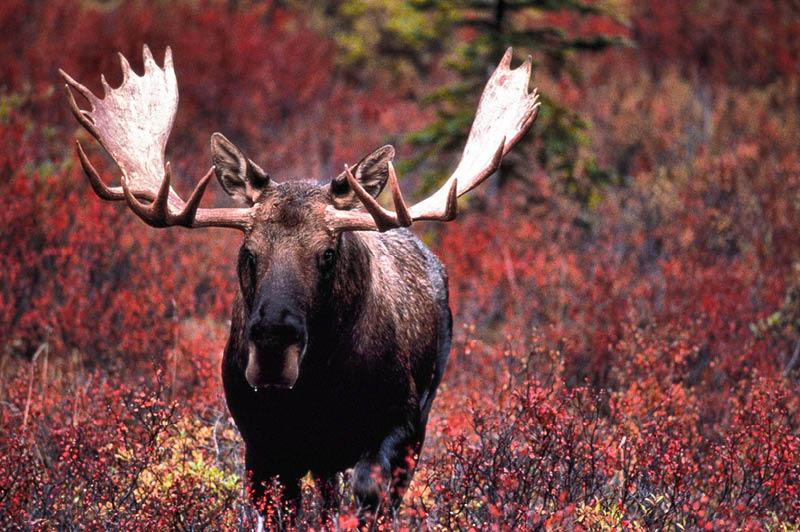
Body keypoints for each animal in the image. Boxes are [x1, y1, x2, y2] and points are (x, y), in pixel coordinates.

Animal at [59, 45, 539, 520]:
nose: (273, 343)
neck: (316, 393)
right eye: (248, 251)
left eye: (327, 253)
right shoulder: (263, 445)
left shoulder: (397, 426)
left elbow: (369, 496)